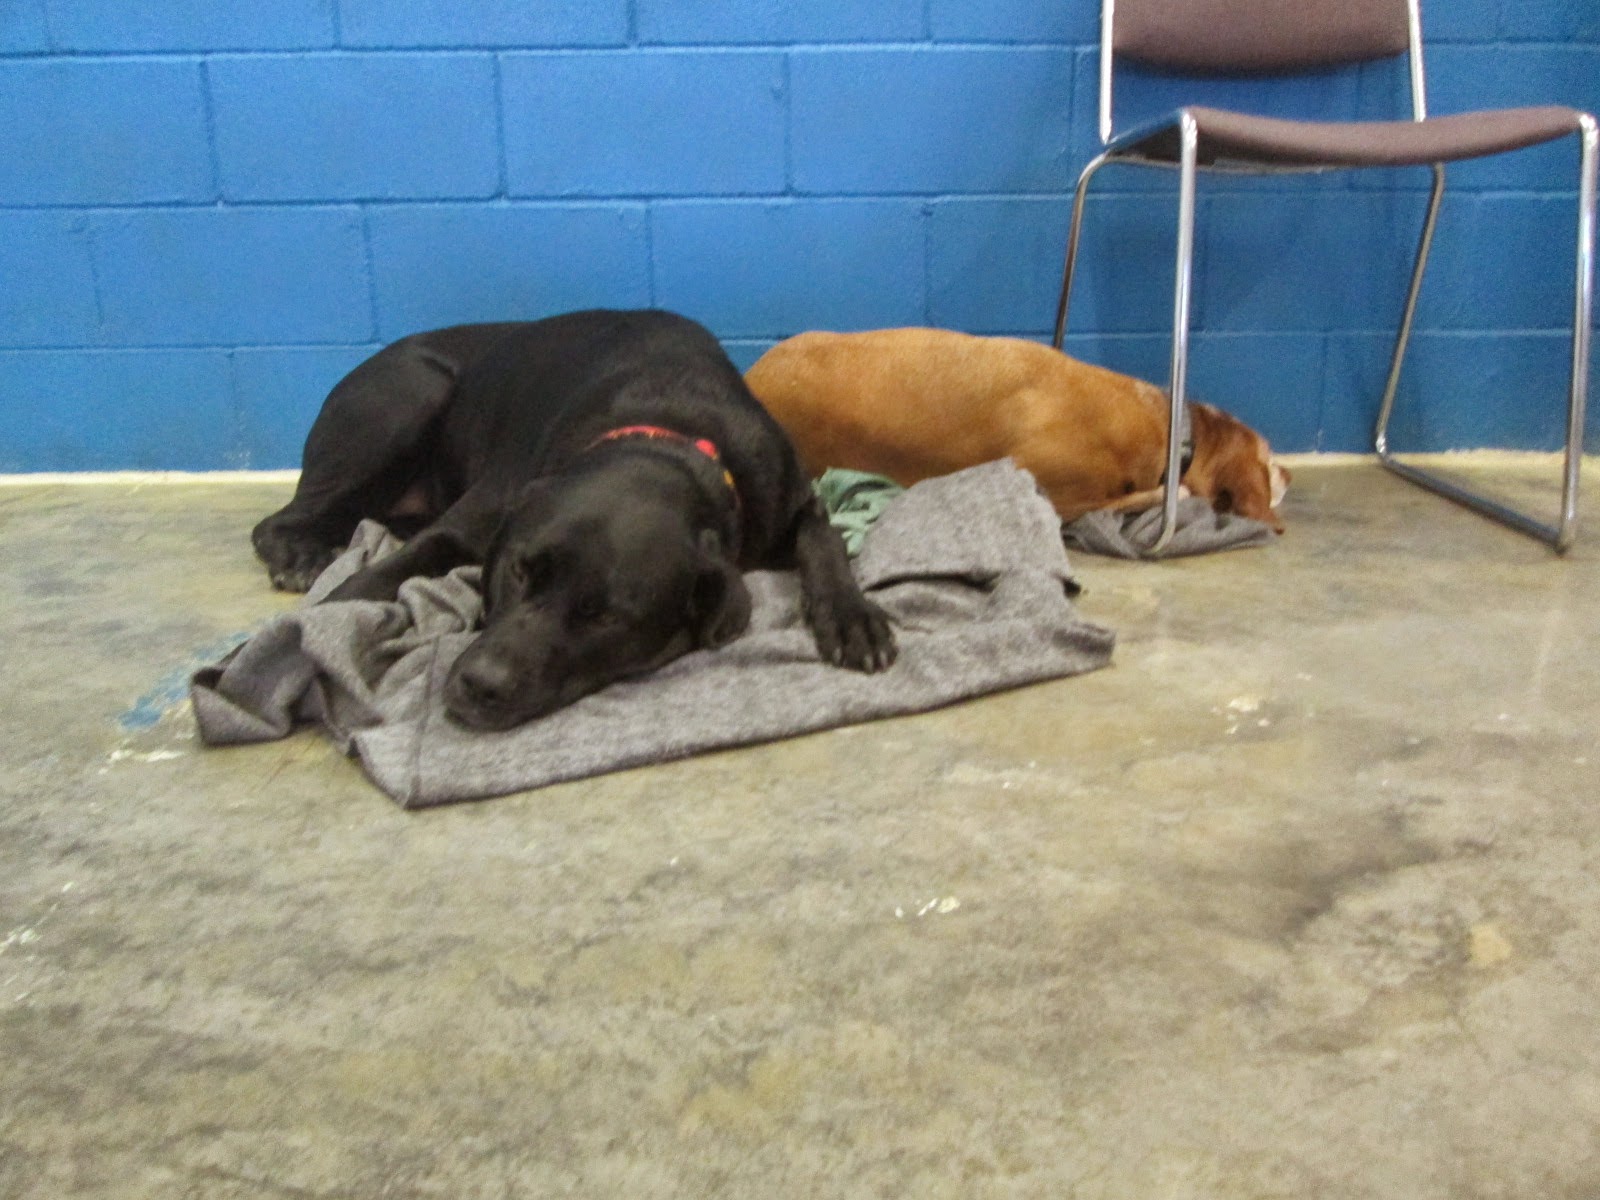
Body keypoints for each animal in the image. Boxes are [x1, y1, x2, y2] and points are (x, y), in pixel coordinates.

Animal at [252, 309, 896, 731]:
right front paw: (288, 640)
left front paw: (852, 617)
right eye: (519, 571)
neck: (666, 434)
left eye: (603, 616)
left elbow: (823, 540)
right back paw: (300, 556)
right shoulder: (467, 526)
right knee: (281, 521)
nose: (480, 683)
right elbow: (376, 578)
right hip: (410, 393)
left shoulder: (791, 498)